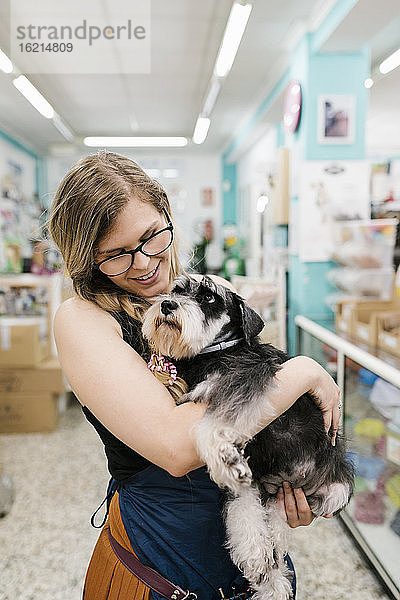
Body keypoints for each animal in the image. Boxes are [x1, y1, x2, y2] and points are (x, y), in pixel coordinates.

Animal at [142, 276, 354, 600]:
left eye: (209, 297)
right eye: (177, 289)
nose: (167, 304)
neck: (215, 353)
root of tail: (289, 480)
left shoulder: (246, 381)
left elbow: (211, 423)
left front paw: (222, 452)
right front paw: (225, 455)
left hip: (335, 494)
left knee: (276, 521)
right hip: (254, 485)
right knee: (251, 518)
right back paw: (265, 567)